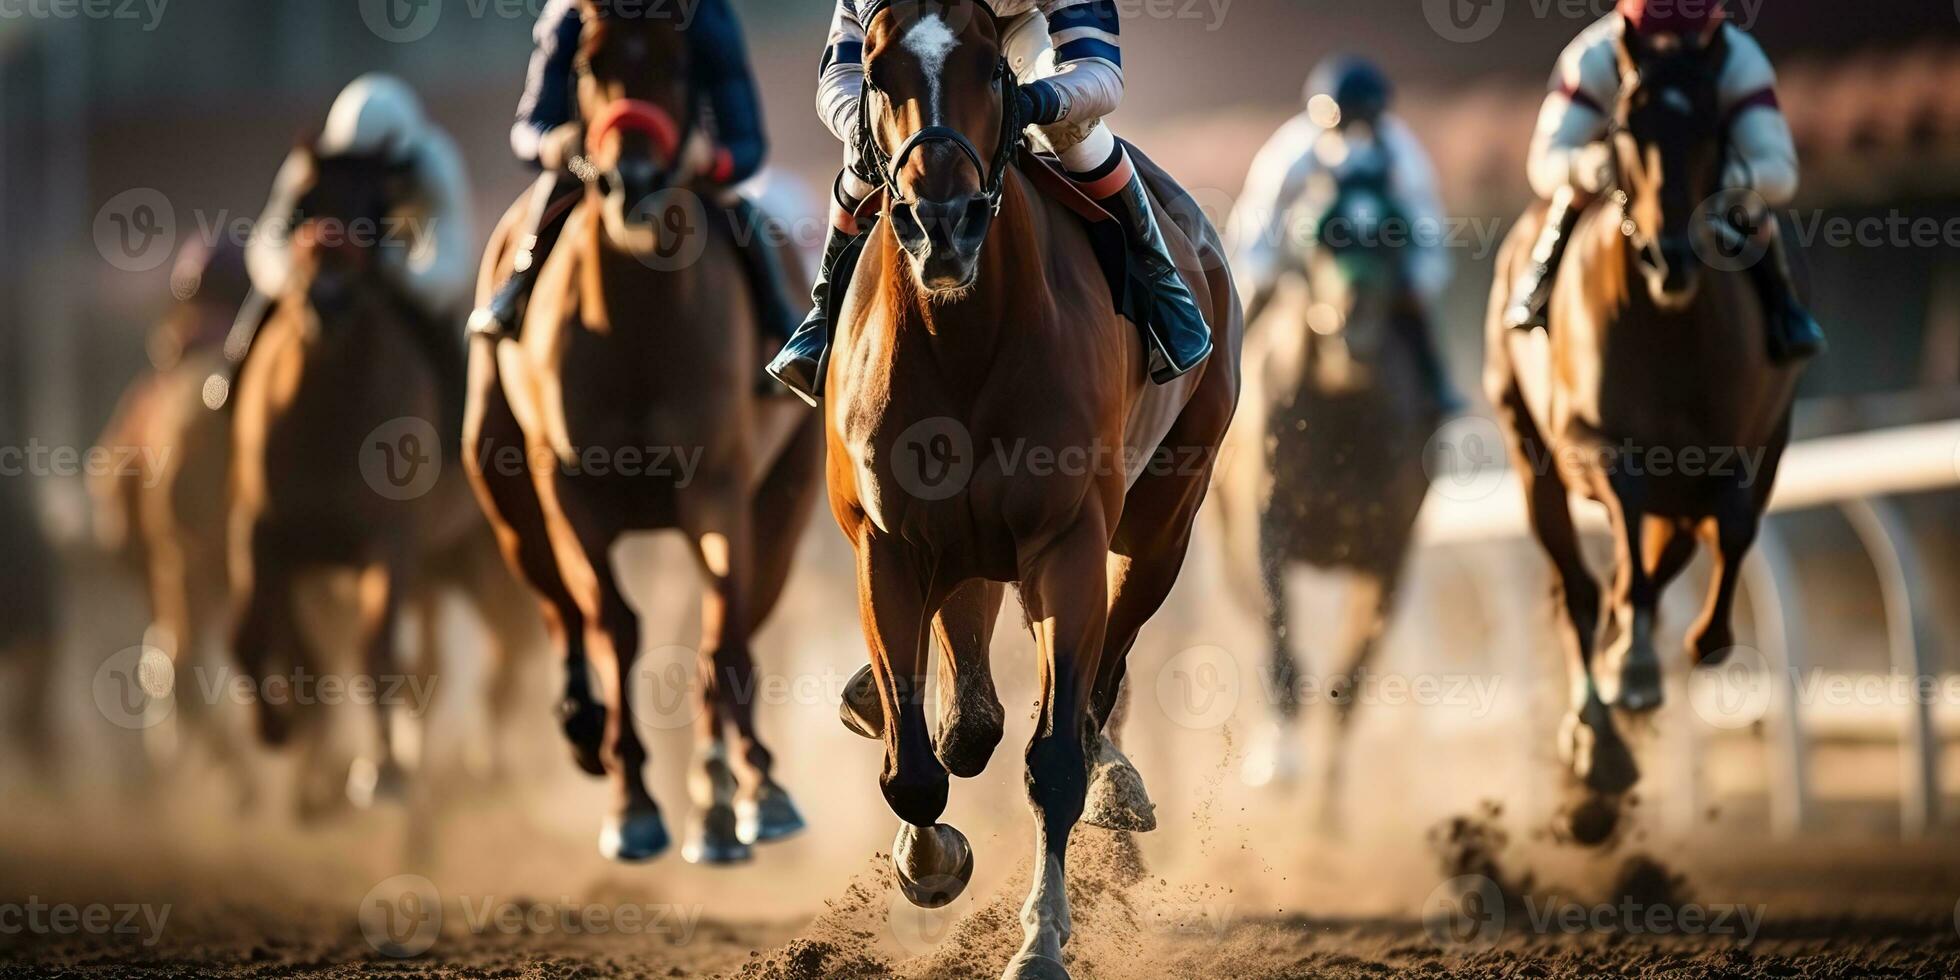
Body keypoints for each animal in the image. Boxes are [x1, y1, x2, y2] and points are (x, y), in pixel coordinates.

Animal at [228, 143, 537, 819]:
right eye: (303, 203)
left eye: (377, 212)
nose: (327, 294)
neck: (323, 422)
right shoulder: (266, 534)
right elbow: (261, 644)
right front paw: (284, 738)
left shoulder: (387, 542)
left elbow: (374, 653)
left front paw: (381, 774)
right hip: (433, 568)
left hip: (478, 554)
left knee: (501, 649)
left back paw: (484, 765)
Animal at [462, 3, 823, 870]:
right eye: (588, 64)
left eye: (678, 60)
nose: (633, 180)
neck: (634, 330)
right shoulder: (568, 494)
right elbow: (611, 623)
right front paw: (631, 804)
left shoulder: (718, 488)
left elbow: (721, 627)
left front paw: (742, 796)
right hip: (501, 485)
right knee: (558, 611)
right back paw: (580, 724)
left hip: (785, 502)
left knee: (738, 623)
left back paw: (736, 789)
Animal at [827, 3, 1238, 976]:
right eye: (877, 69)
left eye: (989, 67)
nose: (942, 223)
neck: (961, 338)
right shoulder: (889, 545)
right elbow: (916, 764)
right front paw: (929, 860)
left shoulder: (1068, 542)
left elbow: (1051, 756)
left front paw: (1041, 938)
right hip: (963, 547)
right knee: (966, 706)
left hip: (1162, 526)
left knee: (1102, 672)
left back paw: (1116, 780)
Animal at [1215, 162, 1450, 803]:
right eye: (1324, 233)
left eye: (1393, 234)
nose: (1353, 322)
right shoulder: (1266, 528)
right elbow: (1279, 635)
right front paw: (1280, 760)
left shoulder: (1389, 553)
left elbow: (1351, 680)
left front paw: (1327, 804)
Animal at [1481, 26, 1803, 838]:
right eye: (1626, 125)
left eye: (1714, 125)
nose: (1670, 254)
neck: (1670, 329)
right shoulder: (1582, 439)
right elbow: (1622, 511)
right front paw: (1629, 669)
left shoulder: (1758, 437)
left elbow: (1735, 522)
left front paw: (1701, 641)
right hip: (1528, 453)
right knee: (1579, 587)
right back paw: (1597, 738)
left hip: (1681, 493)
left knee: (1658, 561)